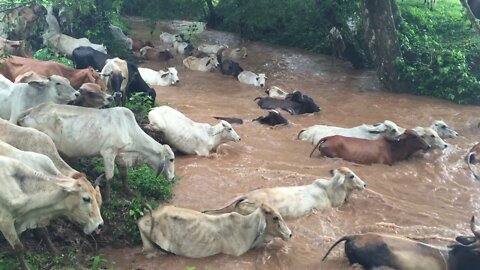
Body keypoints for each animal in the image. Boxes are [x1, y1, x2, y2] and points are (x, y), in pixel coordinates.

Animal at [16, 103, 175, 202]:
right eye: (171, 159)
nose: (172, 178)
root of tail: (33, 110)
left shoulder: (120, 156)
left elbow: (124, 175)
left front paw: (129, 191)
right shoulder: (108, 153)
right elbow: (110, 177)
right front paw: (108, 198)